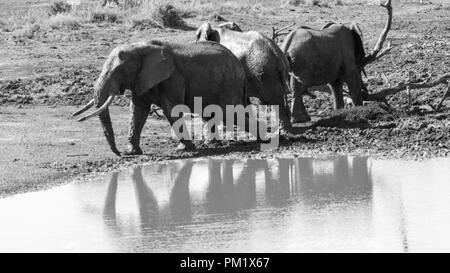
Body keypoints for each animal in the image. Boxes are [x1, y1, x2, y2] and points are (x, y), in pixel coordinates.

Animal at [71, 39, 260, 155]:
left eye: (121, 70)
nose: (119, 153)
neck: (141, 47)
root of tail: (239, 66)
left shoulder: (172, 78)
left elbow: (171, 110)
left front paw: (183, 149)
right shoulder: (142, 79)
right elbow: (138, 111)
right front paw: (133, 152)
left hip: (229, 82)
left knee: (231, 113)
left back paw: (264, 138)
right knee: (216, 113)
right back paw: (212, 145)